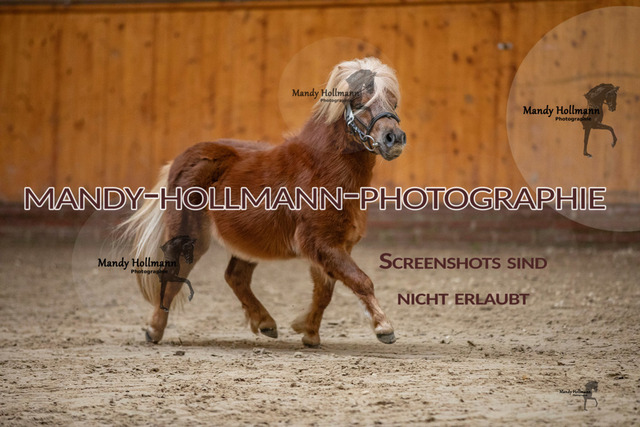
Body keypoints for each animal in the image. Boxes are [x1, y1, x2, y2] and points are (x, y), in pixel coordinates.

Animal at [120, 57, 407, 347]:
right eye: (360, 102)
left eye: (393, 103)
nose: (394, 139)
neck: (321, 168)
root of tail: (182, 159)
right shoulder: (322, 243)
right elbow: (361, 280)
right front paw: (384, 328)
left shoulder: (333, 247)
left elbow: (324, 292)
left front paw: (309, 333)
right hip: (189, 236)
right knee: (173, 275)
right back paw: (154, 330)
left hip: (249, 241)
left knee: (235, 276)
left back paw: (266, 323)